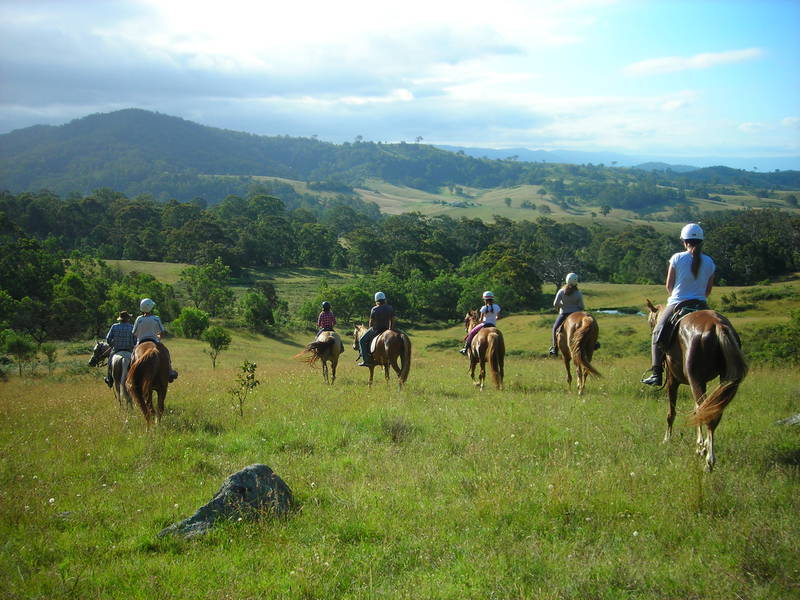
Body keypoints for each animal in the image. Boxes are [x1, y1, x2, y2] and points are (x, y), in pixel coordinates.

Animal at [648, 298, 748, 472]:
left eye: (650, 322)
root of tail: (717, 325)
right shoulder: (704, 382)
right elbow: (697, 410)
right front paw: (700, 444)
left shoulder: (673, 381)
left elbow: (671, 413)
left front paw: (667, 439)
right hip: (721, 380)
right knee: (711, 411)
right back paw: (706, 450)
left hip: (694, 379)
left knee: (707, 413)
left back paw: (709, 461)